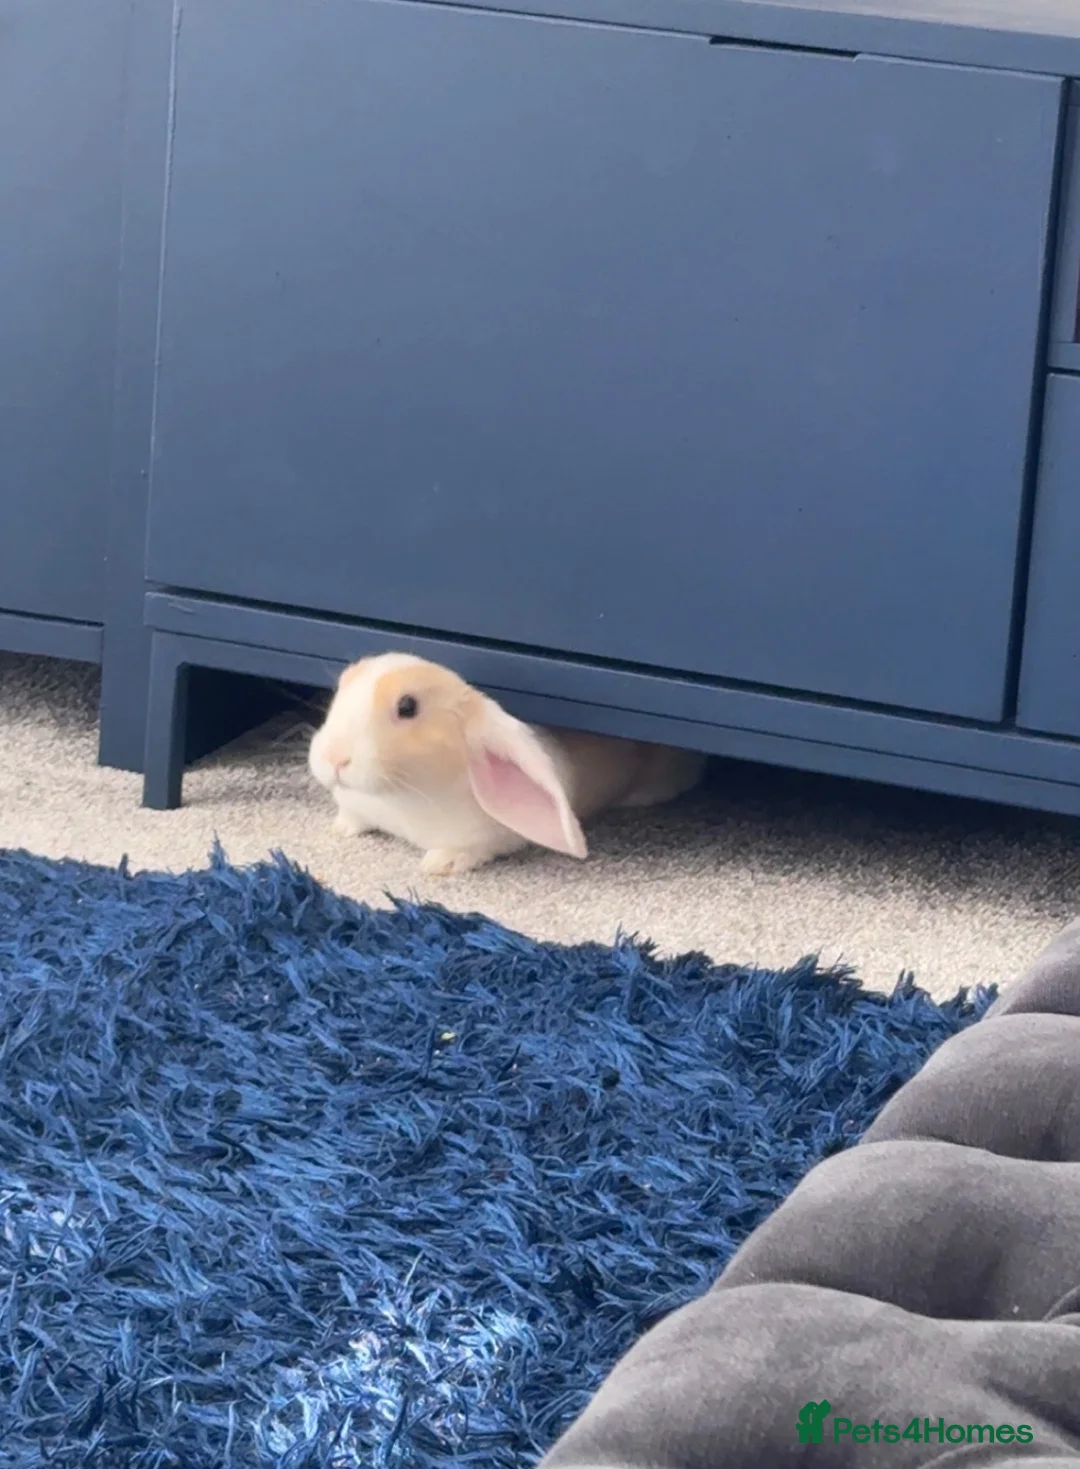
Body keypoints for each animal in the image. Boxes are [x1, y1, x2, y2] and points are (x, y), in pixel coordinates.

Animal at [308, 652, 707, 875]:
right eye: (342, 685)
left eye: (407, 707)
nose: (333, 758)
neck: (402, 799)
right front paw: (341, 828)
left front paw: (441, 864)